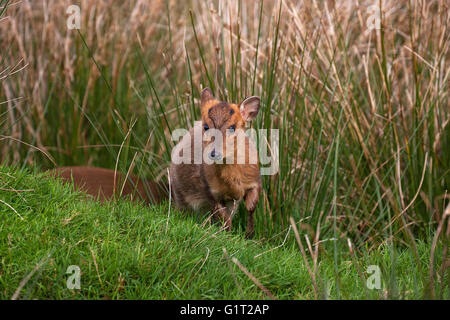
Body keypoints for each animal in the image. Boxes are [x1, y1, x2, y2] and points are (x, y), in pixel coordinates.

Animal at [49, 87, 262, 238]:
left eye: (233, 127)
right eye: (206, 126)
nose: (214, 153)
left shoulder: (254, 182)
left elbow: (251, 207)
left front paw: (250, 236)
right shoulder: (210, 190)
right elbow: (225, 218)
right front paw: (231, 237)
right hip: (179, 193)